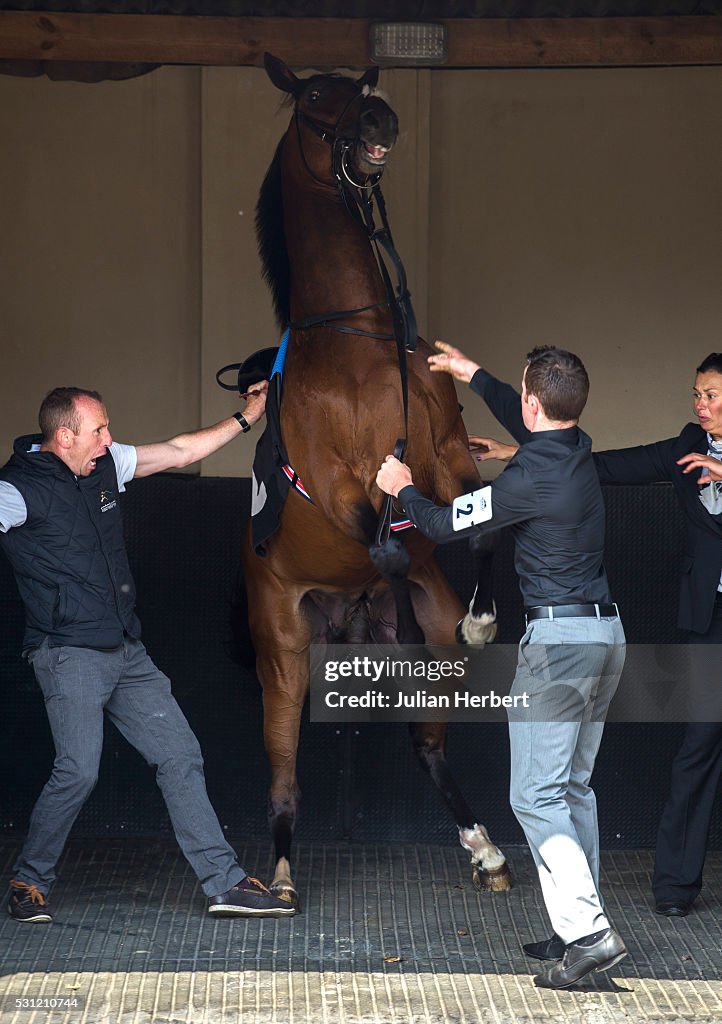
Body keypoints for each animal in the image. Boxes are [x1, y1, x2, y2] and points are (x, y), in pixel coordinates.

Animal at [244, 51, 510, 909]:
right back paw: (281, 877)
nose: (379, 120)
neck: (355, 342)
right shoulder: (340, 487)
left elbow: (484, 524)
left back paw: (485, 847)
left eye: (359, 87)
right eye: (311, 98)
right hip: (282, 649)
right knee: (283, 769)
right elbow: (387, 541)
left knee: (427, 742)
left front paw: (485, 620)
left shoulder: (449, 455)